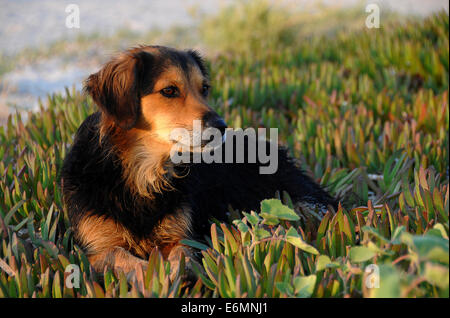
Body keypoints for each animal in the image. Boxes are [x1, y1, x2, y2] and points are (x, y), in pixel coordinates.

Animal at [60, 44, 338, 278]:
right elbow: (128, 261)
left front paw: (174, 277)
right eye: (169, 91)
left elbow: (180, 258)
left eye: (204, 88)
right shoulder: (98, 250)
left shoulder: (182, 238)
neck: (140, 173)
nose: (221, 126)